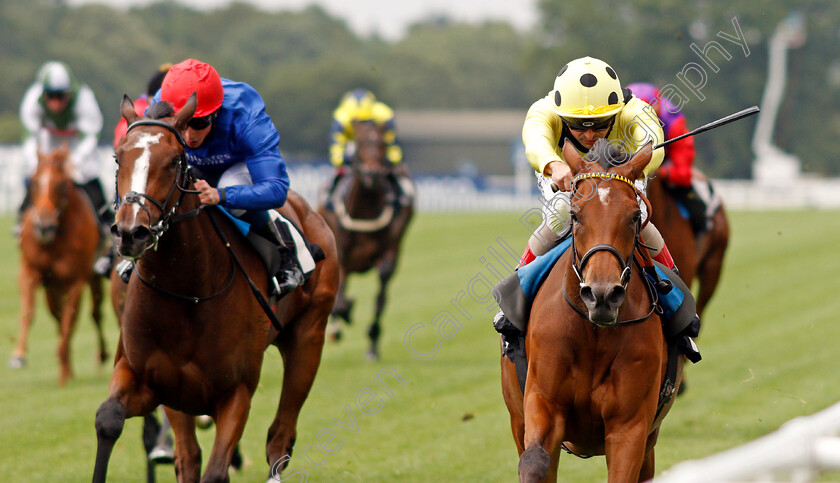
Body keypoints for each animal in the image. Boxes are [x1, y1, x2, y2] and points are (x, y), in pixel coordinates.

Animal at [10, 144, 106, 386]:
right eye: (34, 182)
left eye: (62, 184)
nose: (44, 226)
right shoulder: (31, 272)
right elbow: (29, 312)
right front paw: (18, 355)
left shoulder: (76, 280)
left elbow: (69, 322)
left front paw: (64, 373)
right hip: (51, 288)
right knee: (58, 315)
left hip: (93, 278)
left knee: (94, 314)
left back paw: (100, 355)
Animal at [93, 95, 340, 483]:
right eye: (118, 157)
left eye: (173, 160)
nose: (131, 232)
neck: (187, 292)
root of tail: (310, 210)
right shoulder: (152, 380)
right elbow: (109, 420)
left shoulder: (236, 392)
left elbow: (216, 470)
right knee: (189, 455)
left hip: (308, 338)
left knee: (280, 437)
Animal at [318, 120, 414, 362]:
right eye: (360, 143)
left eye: (382, 142)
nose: (372, 172)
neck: (366, 209)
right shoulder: (342, 253)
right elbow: (340, 299)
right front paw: (341, 319)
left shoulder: (389, 254)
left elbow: (380, 300)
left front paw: (372, 343)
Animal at [502, 141, 680, 483]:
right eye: (575, 214)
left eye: (634, 216)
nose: (602, 295)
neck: (593, 333)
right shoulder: (542, 404)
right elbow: (534, 462)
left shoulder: (631, 427)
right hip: (517, 417)